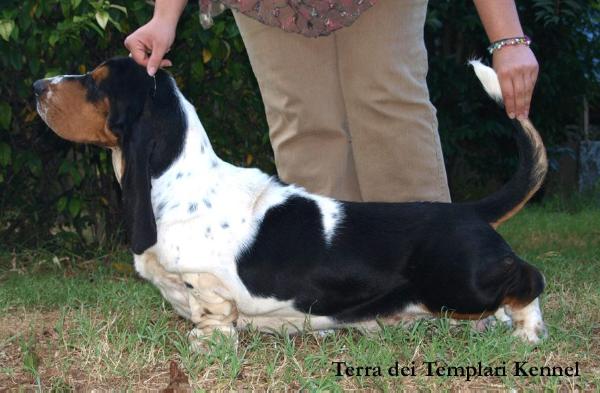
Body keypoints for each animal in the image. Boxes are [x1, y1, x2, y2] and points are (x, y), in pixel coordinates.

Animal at [32, 56, 548, 344]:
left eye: (96, 82)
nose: (37, 87)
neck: (177, 181)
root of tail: (468, 209)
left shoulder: (207, 282)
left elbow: (212, 312)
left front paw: (206, 343)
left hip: (460, 284)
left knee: (529, 278)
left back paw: (527, 332)